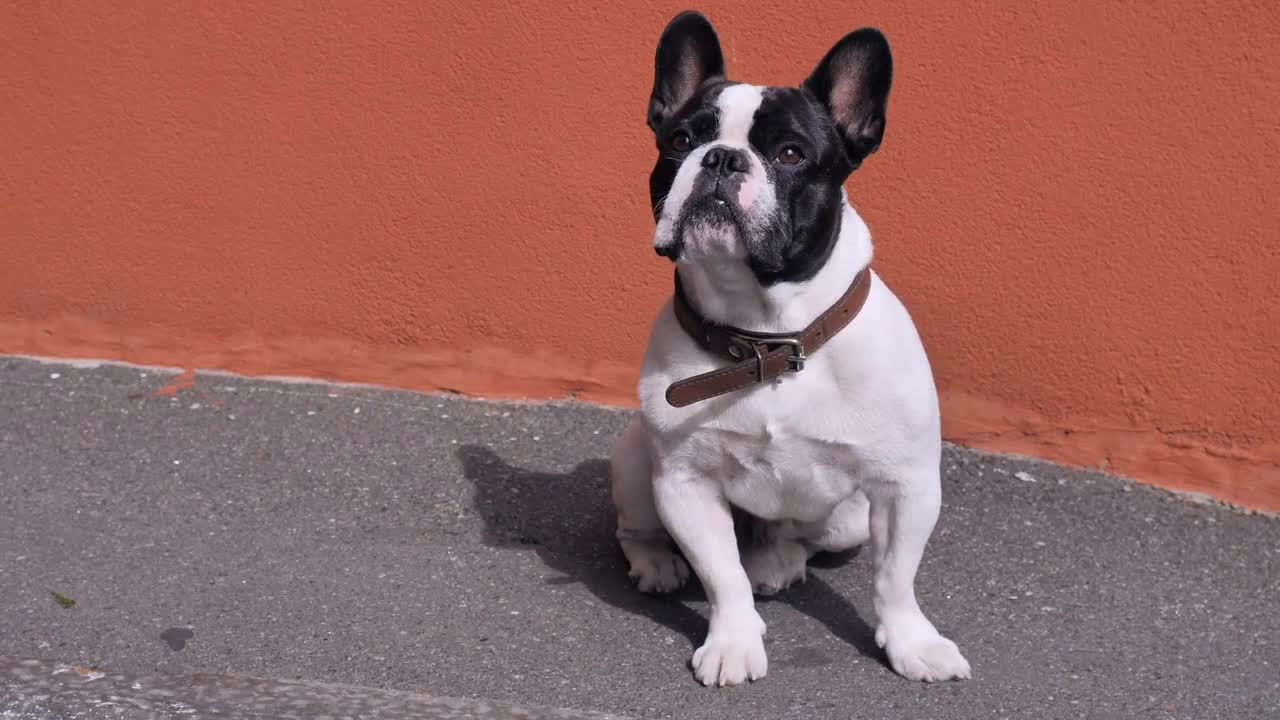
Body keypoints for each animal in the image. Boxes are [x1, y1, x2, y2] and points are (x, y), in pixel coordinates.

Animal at [609, 9, 967, 681]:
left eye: (791, 153)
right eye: (679, 141)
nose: (722, 158)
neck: (767, 338)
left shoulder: (906, 486)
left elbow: (895, 578)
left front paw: (913, 642)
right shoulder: (685, 482)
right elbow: (721, 575)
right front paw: (733, 641)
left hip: (848, 521)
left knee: (795, 536)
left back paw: (777, 561)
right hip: (639, 462)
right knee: (638, 529)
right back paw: (659, 563)